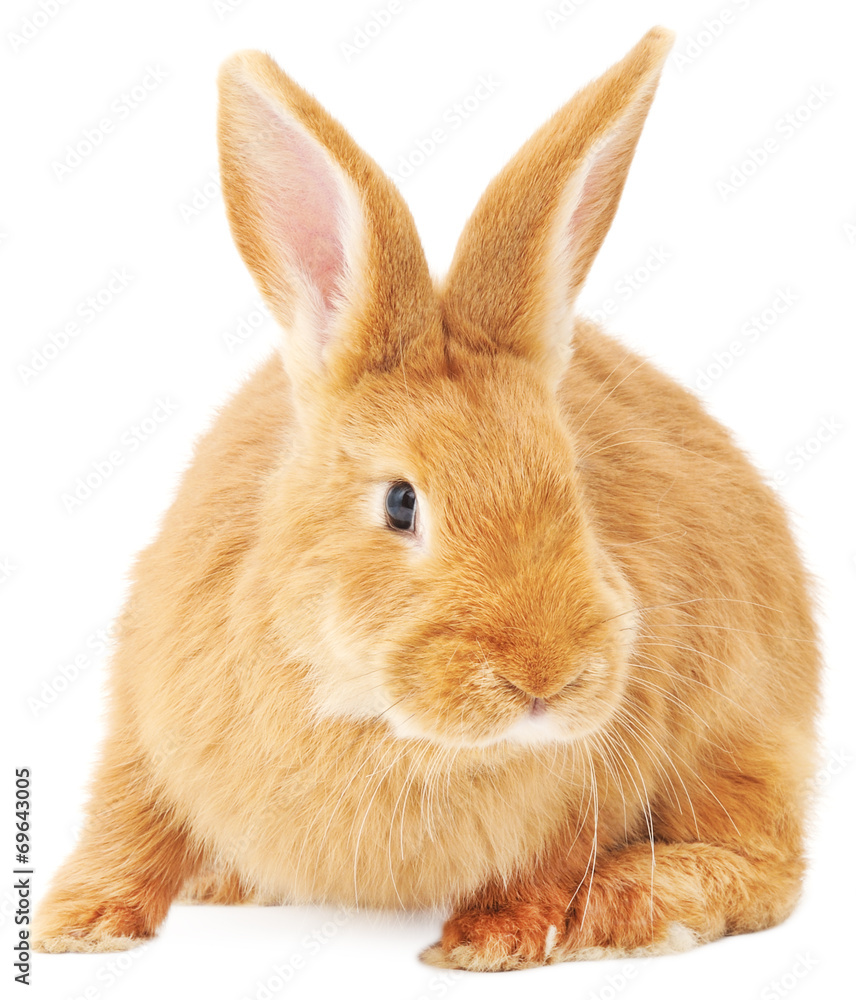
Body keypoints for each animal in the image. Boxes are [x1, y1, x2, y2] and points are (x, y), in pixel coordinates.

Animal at [33, 26, 821, 971]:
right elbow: (127, 816)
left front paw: (487, 946)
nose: (546, 678)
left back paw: (632, 905)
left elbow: (547, 865)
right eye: (401, 504)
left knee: (769, 865)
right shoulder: (146, 715)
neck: (382, 720)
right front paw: (75, 928)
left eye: (575, 485)